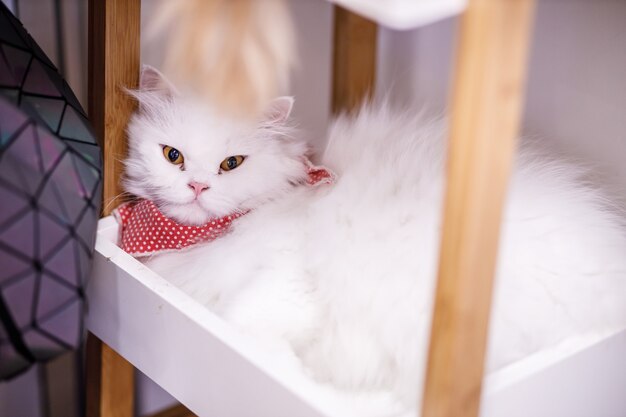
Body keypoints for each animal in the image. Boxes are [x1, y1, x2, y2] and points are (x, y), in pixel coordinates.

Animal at [122, 66, 624, 414]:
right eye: (173, 156)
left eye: (232, 164)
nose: (198, 187)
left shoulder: (287, 290)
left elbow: (246, 328)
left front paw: (294, 377)